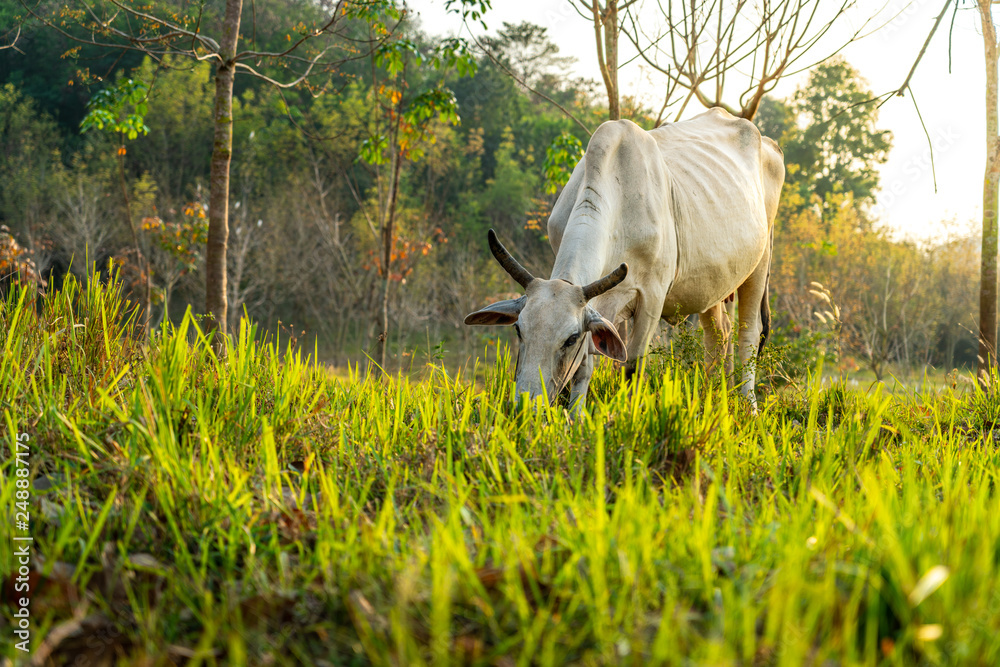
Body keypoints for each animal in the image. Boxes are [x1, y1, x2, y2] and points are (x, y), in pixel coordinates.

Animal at [465, 107, 785, 411]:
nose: (526, 406)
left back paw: (747, 405)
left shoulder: (652, 297)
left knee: (748, 335)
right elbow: (583, 367)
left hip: (760, 265)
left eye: (569, 338)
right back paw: (715, 397)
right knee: (719, 334)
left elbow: (632, 366)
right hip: (712, 284)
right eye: (519, 329)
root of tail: (769, 144)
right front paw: (575, 416)